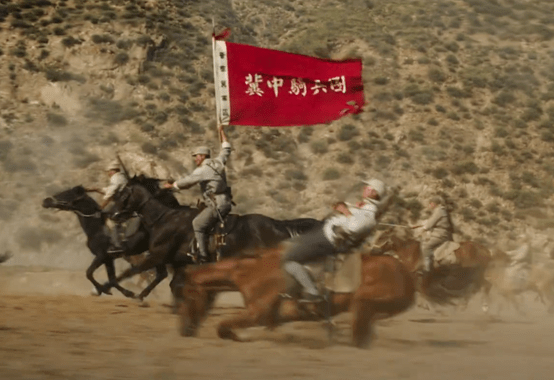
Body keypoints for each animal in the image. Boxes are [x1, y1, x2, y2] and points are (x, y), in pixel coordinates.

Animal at [177, 246, 414, 348]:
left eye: (187, 295)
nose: (183, 330)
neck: (251, 272)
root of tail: (405, 272)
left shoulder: (256, 314)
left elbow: (223, 327)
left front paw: (238, 337)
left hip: (361, 303)